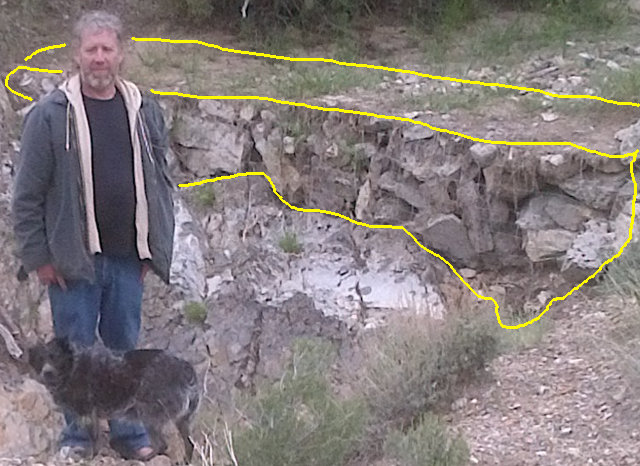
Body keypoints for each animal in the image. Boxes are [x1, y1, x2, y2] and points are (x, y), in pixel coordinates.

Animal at [28, 338, 200, 462]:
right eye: (40, 359)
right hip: (182, 420)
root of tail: (186, 369)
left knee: (162, 445)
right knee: (190, 444)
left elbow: (93, 439)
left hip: (149, 415)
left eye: (55, 357)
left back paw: (143, 458)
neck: (72, 368)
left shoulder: (88, 413)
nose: (47, 373)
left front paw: (91, 457)